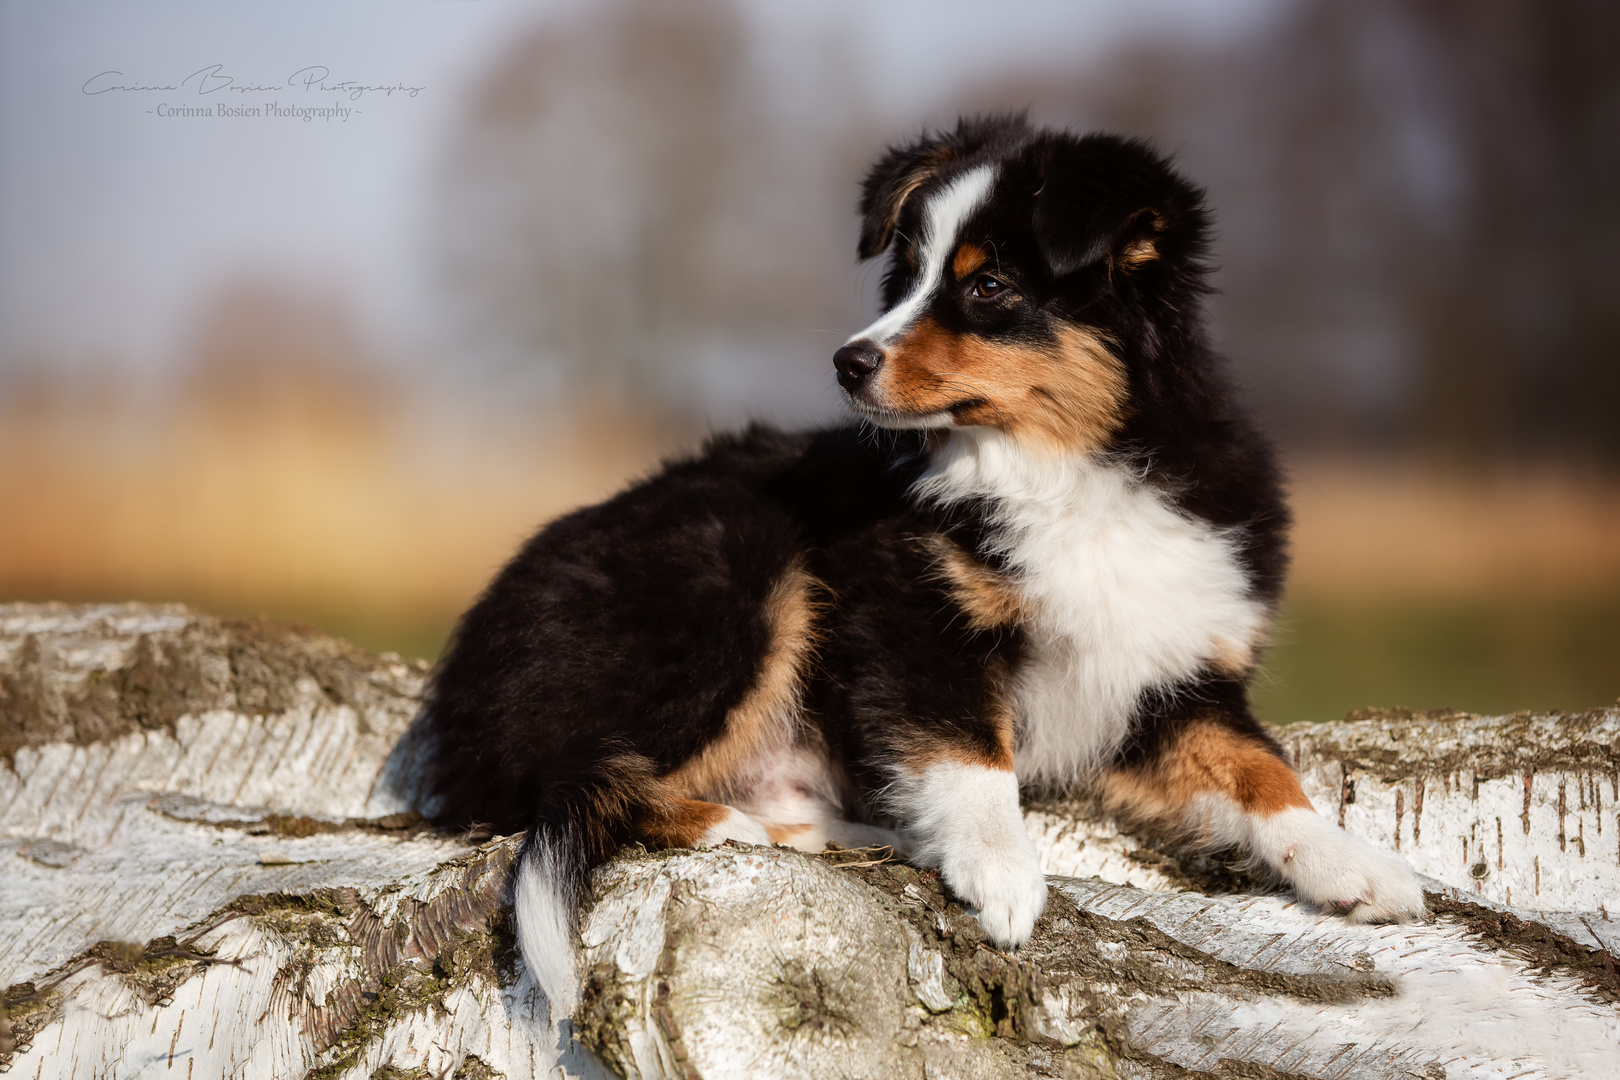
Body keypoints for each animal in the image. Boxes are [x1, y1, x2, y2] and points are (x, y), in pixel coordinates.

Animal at [414, 114, 1419, 1016]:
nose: (847, 361)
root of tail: (459, 695)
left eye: (989, 286)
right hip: (737, 569)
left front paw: (1357, 867)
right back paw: (729, 823)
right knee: (567, 780)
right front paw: (1004, 874)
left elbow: (1263, 771)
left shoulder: (1175, 681)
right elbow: (971, 753)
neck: (1062, 467)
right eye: (906, 278)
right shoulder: (915, 623)